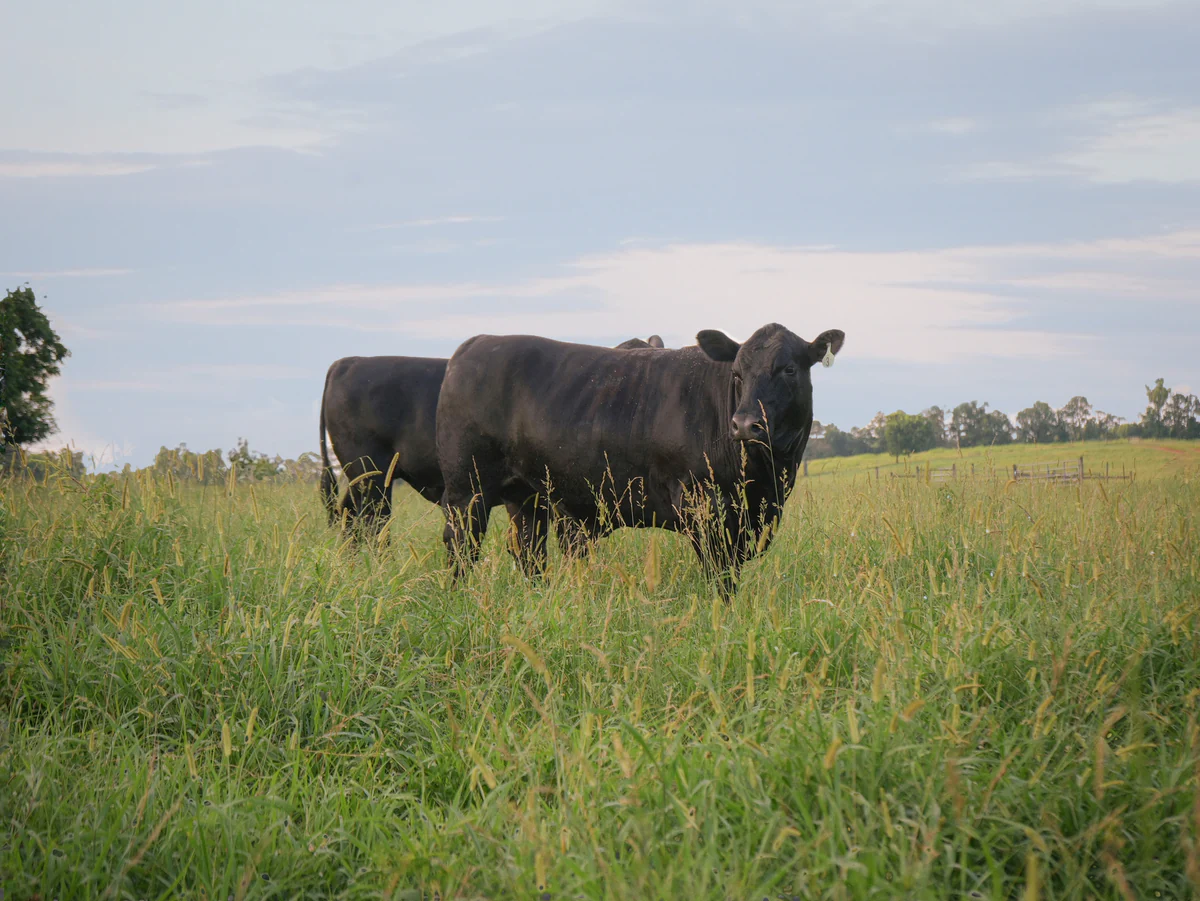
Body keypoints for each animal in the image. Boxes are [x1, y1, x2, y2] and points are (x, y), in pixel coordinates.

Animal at [435, 323, 844, 596]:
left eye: (789, 368)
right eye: (737, 373)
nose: (745, 424)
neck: (765, 478)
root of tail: (474, 344)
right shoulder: (703, 504)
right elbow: (719, 573)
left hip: (526, 496)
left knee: (528, 551)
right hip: (466, 490)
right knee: (461, 546)